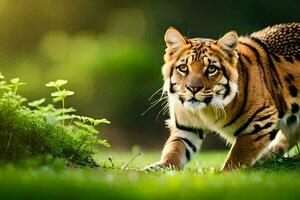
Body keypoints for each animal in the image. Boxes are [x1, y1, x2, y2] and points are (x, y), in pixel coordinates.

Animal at [145, 23, 300, 170]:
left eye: (211, 69)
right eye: (183, 68)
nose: (193, 88)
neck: (206, 110)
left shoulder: (262, 120)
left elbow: (238, 155)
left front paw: (227, 173)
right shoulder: (186, 129)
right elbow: (173, 151)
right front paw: (153, 169)